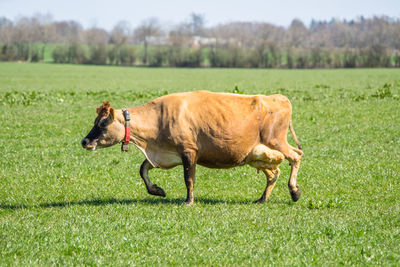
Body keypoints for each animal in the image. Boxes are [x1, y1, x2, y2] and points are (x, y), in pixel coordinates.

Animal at [81, 91, 304, 206]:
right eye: (95, 121)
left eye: (103, 123)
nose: (84, 141)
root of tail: (279, 97)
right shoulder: (165, 154)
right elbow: (143, 169)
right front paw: (156, 190)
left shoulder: (189, 151)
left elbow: (189, 178)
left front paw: (189, 201)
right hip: (256, 154)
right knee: (273, 173)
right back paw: (262, 198)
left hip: (276, 141)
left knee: (296, 155)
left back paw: (294, 191)